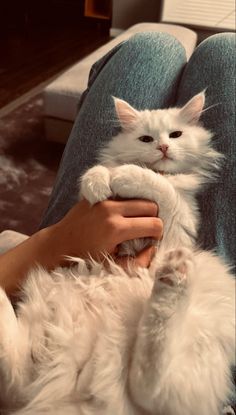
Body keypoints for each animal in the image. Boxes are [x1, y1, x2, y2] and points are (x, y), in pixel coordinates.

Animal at [0, 92, 235, 415]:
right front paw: (99, 183)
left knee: (153, 385)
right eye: (146, 138)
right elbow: (99, 171)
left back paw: (175, 273)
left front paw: (127, 175)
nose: (163, 147)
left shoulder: (176, 230)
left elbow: (163, 188)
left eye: (175, 135)